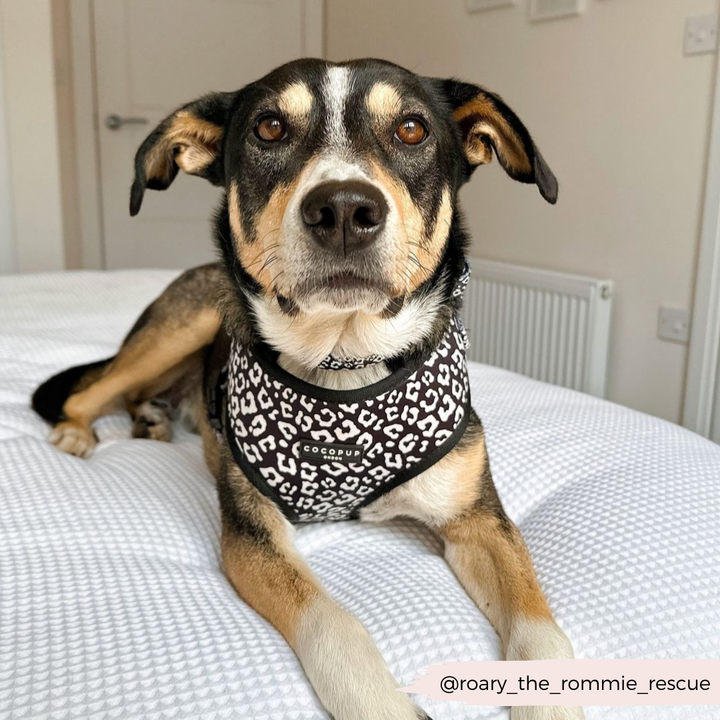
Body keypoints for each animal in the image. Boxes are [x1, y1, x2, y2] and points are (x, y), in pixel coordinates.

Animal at [32, 60, 584, 720]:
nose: (344, 209)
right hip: (187, 321)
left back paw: (153, 420)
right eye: (269, 128)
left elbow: (541, 633)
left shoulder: (479, 520)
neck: (345, 363)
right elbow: (331, 623)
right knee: (89, 390)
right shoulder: (251, 535)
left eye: (412, 129)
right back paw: (78, 433)